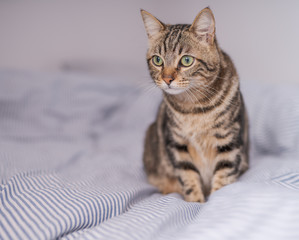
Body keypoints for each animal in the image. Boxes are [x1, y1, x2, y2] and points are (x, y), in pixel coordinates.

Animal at [142, 7, 250, 202]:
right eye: (157, 60)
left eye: (186, 60)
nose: (167, 79)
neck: (194, 109)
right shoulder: (177, 144)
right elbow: (188, 178)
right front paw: (196, 202)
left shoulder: (229, 142)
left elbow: (223, 179)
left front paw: (214, 202)